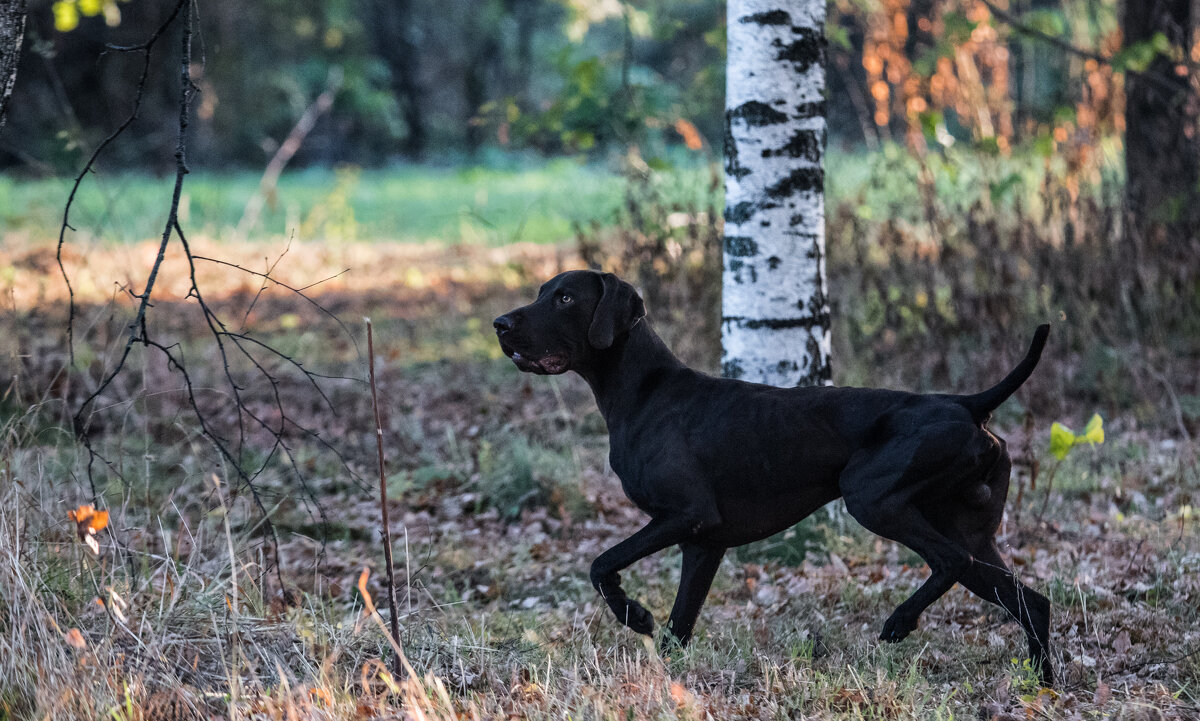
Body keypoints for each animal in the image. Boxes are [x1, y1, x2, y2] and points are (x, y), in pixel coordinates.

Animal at [492, 268, 1056, 681]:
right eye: (543, 293)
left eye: (565, 298)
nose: (499, 324)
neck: (644, 392)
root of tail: (969, 405)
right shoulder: (704, 543)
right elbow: (679, 626)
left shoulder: (686, 516)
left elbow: (601, 565)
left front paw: (635, 616)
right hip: (969, 528)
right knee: (1032, 601)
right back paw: (1043, 685)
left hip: (872, 498)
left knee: (951, 561)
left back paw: (899, 622)